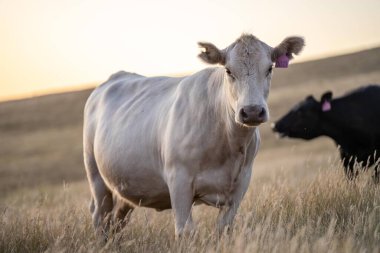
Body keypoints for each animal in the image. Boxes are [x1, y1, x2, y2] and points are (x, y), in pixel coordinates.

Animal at [83, 33, 302, 237]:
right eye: (228, 70)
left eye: (269, 69)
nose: (252, 111)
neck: (228, 144)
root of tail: (116, 77)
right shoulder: (178, 180)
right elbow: (185, 230)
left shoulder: (240, 184)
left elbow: (223, 228)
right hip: (97, 178)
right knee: (100, 216)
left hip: (125, 186)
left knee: (117, 221)